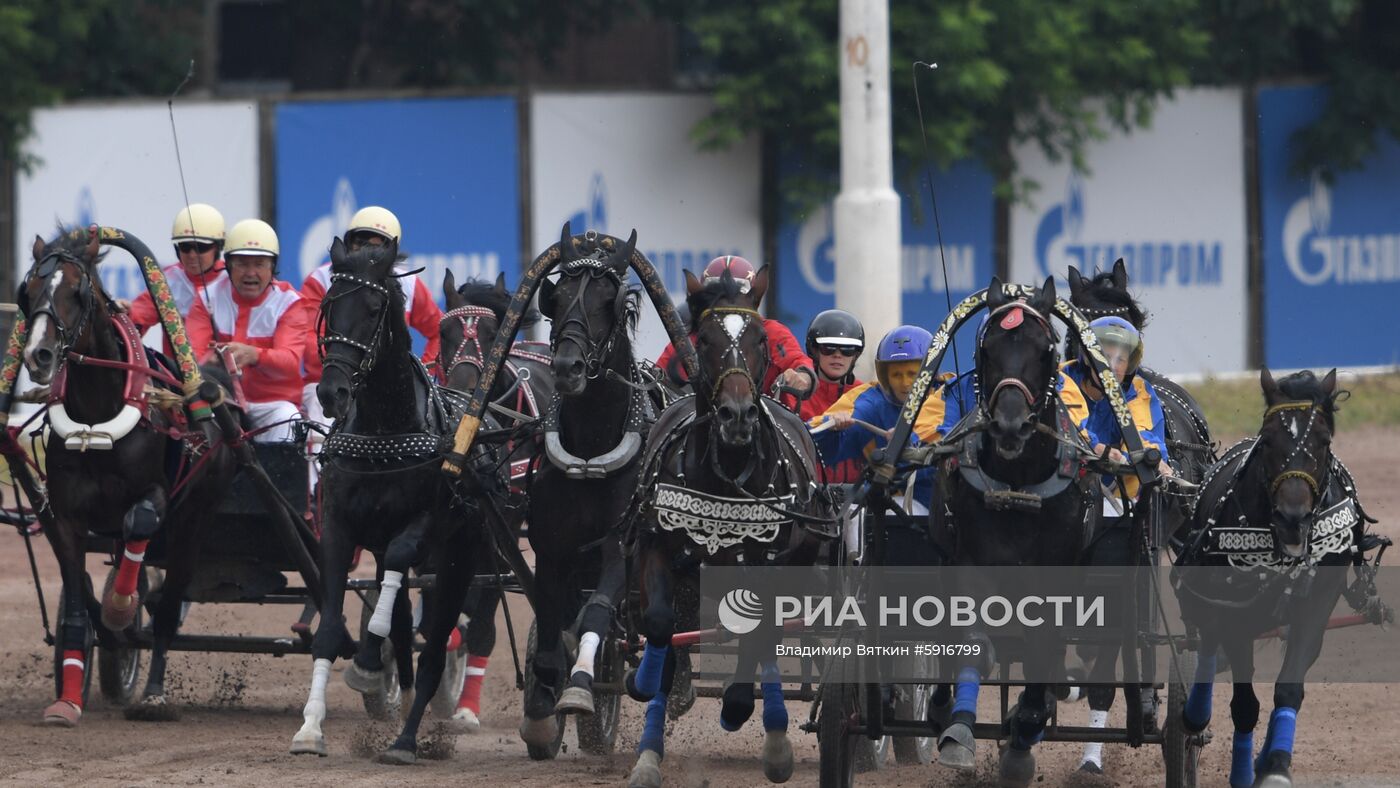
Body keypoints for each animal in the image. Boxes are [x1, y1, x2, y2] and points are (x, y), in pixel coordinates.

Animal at [18, 225, 235, 722]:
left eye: (76, 292)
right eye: (27, 291)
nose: (39, 354)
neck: (97, 418)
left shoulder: (157, 494)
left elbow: (141, 521)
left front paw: (120, 608)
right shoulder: (68, 517)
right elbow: (75, 607)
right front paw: (67, 701)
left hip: (193, 520)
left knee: (170, 605)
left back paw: (153, 691)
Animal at [287, 237, 495, 761]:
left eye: (374, 307)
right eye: (328, 306)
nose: (332, 390)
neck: (384, 430)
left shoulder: (426, 524)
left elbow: (403, 561)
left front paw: (368, 655)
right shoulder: (338, 527)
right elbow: (329, 630)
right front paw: (310, 728)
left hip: (462, 558)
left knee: (438, 645)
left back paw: (406, 738)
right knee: (404, 630)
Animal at [621, 268, 828, 783]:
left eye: (761, 340)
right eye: (704, 340)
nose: (736, 415)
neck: (727, 474)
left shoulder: (770, 565)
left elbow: (760, 636)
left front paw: (743, 711)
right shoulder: (657, 548)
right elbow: (660, 627)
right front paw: (650, 702)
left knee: (764, 637)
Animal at [929, 275, 1103, 783]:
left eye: (1044, 350)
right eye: (987, 350)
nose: (1010, 424)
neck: (1018, 487)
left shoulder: (1056, 575)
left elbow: (1044, 648)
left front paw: (1026, 727)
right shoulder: (968, 563)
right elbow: (971, 643)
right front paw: (958, 730)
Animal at [1176, 369, 1383, 788]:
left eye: (1324, 440)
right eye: (1268, 438)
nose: (1293, 517)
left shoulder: (1316, 607)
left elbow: (1288, 688)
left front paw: (1274, 766)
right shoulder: (1234, 615)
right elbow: (1244, 704)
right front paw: (1243, 772)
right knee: (1207, 644)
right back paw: (1195, 716)